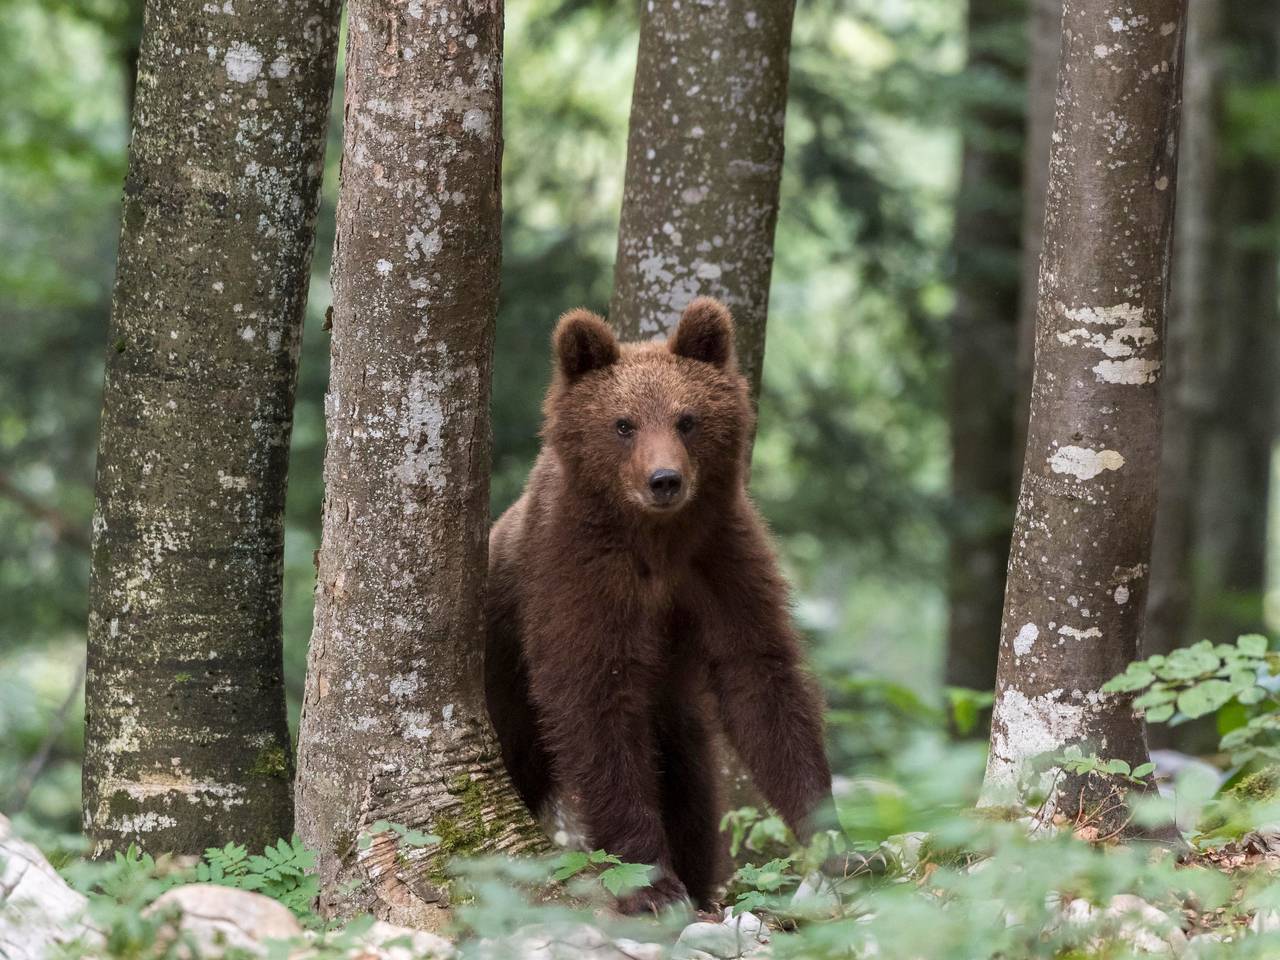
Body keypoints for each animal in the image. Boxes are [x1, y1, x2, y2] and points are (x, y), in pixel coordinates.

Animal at [483, 297, 832, 913]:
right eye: (623, 424)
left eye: (686, 419)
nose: (664, 480)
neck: (655, 541)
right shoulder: (575, 573)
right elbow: (594, 701)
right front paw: (652, 884)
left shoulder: (718, 560)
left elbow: (761, 679)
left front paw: (836, 843)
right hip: (503, 687)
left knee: (691, 786)